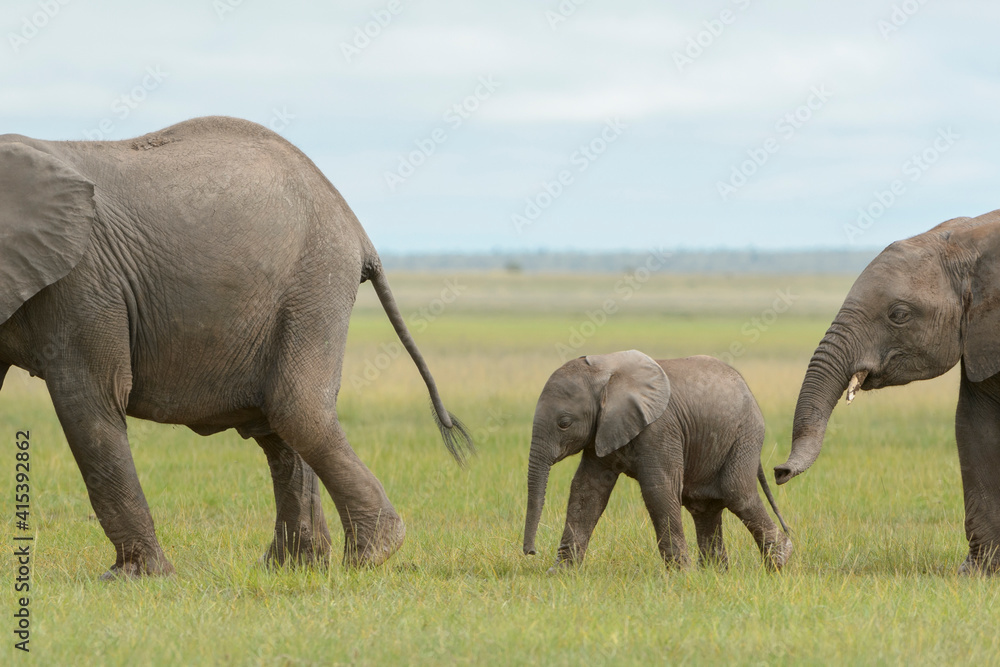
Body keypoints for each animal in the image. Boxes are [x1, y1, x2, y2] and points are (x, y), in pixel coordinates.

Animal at [0, 116, 472, 578]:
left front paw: (133, 579)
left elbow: (90, 401)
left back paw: (370, 555)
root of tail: (359, 232)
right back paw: (292, 566)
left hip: (314, 284)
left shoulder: (82, 283)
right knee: (277, 426)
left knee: (296, 410)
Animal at [523, 351, 792, 571]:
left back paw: (780, 561)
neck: (606, 371)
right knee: (705, 506)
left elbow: (659, 489)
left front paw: (680, 576)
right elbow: (586, 491)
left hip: (745, 435)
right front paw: (560, 573)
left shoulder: (660, 428)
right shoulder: (603, 430)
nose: (531, 552)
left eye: (564, 423)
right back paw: (714, 573)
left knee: (737, 493)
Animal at [774, 210, 1000, 574]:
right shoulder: (981, 333)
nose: (779, 472)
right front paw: (976, 573)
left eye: (899, 315)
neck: (970, 240)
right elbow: (974, 425)